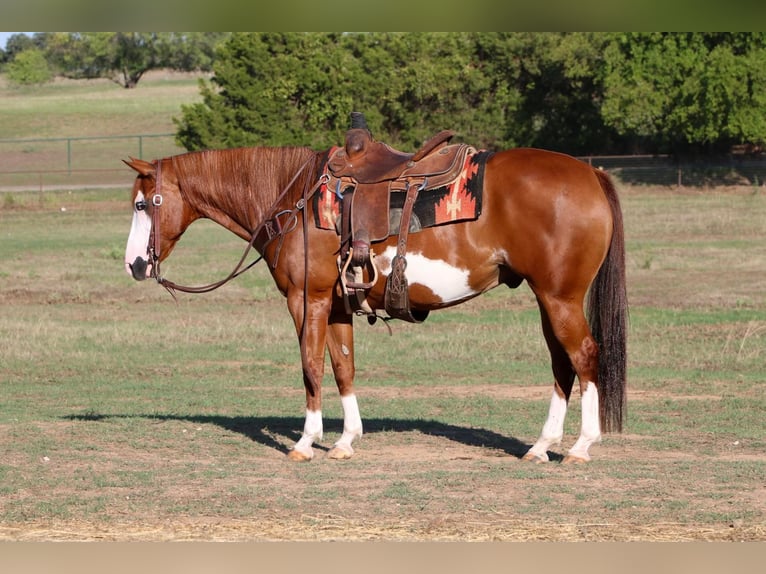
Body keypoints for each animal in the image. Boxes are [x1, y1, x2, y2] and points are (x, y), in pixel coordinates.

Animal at [124, 136, 632, 468]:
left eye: (142, 204)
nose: (134, 264)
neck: (295, 199)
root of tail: (591, 172)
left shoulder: (306, 300)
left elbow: (311, 367)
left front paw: (306, 442)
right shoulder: (337, 305)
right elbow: (343, 367)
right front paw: (346, 440)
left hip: (560, 298)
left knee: (585, 356)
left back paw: (581, 447)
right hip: (547, 298)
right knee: (562, 364)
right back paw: (541, 446)